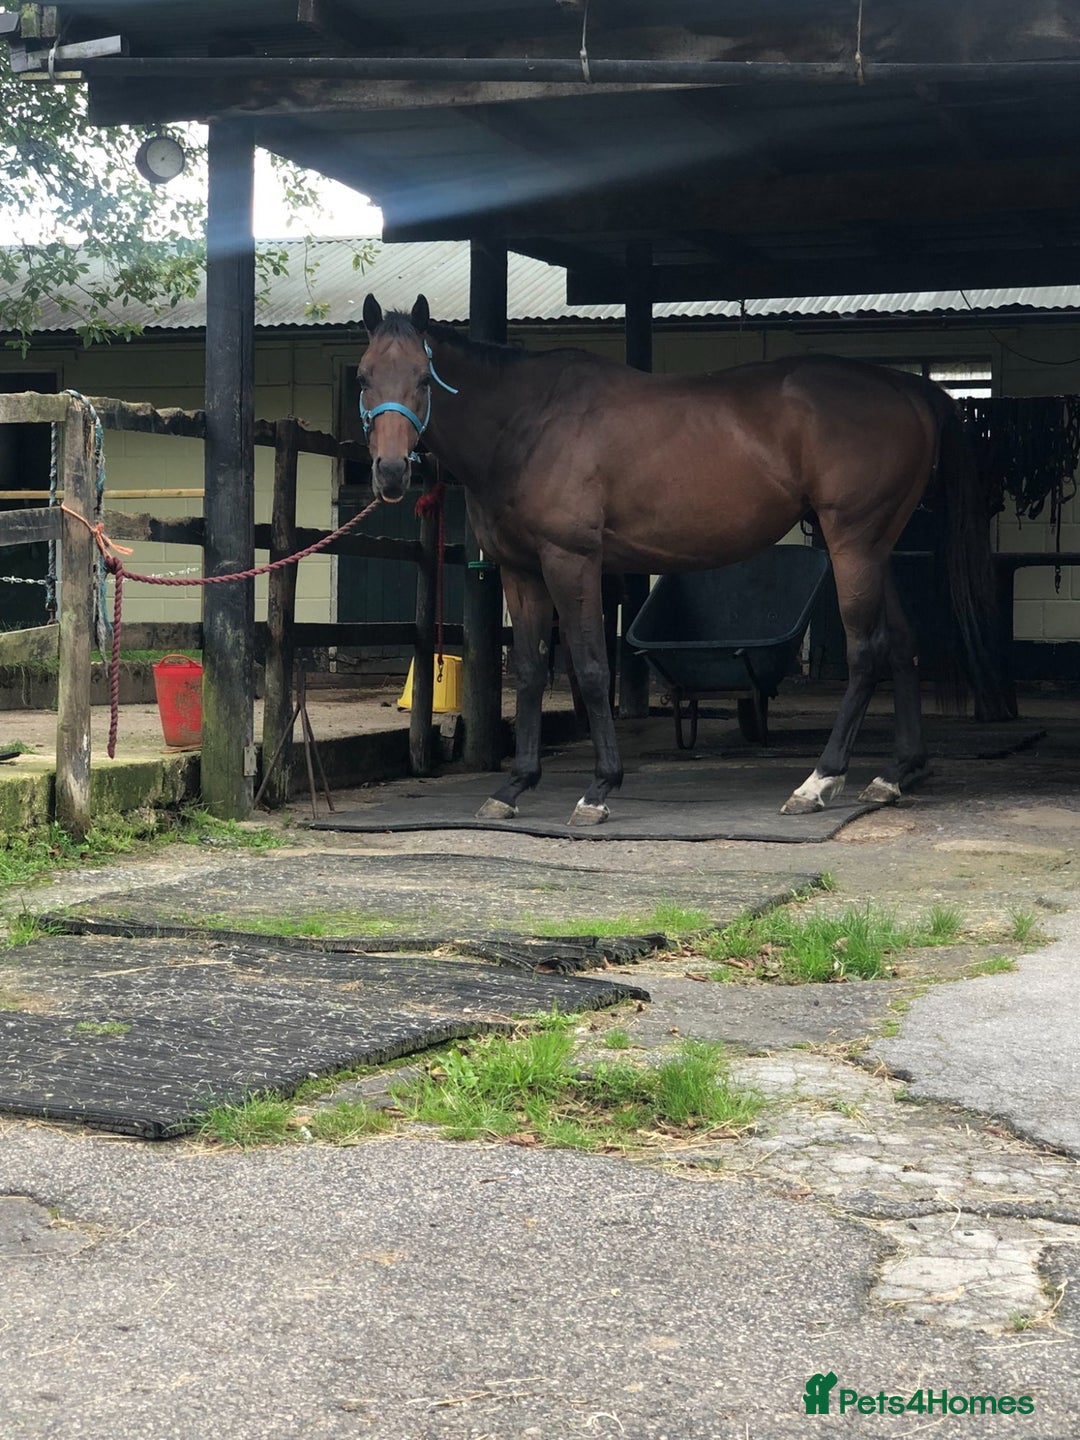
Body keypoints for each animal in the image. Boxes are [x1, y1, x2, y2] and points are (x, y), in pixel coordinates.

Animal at [359, 293, 1012, 827]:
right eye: (364, 377)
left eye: (423, 377)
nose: (389, 474)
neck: (527, 422)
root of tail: (908, 388)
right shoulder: (521, 573)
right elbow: (528, 672)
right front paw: (515, 786)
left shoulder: (572, 562)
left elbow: (591, 669)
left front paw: (599, 789)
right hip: (874, 548)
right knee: (901, 646)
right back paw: (895, 775)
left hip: (852, 543)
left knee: (868, 652)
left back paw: (819, 782)